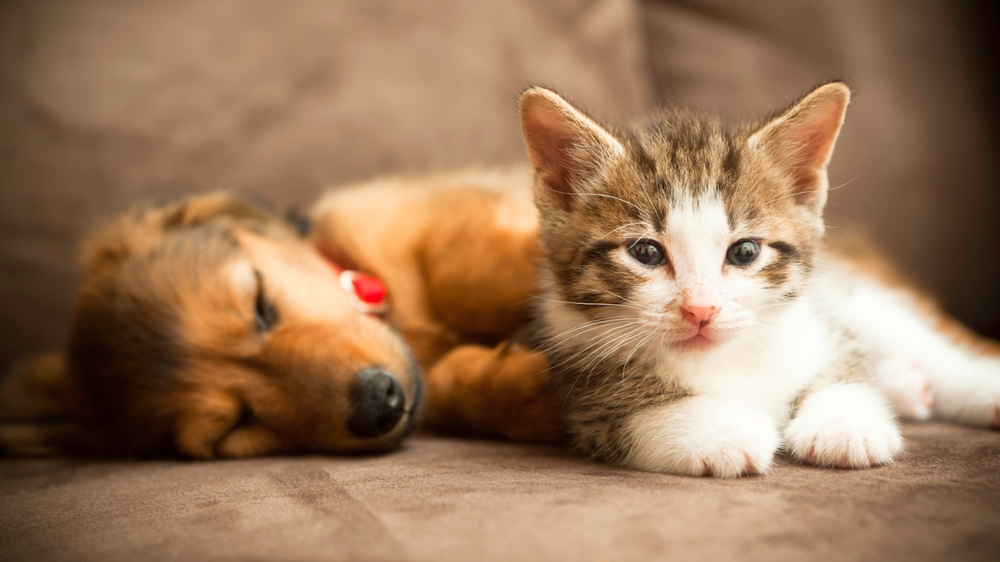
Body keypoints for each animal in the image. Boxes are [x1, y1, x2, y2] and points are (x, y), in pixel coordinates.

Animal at [0, 168, 564, 458]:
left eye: (260, 302)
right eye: (235, 426)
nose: (378, 404)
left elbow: (462, 271)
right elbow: (450, 382)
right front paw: (522, 393)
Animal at [520, 83, 1000, 474]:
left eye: (745, 252)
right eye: (646, 253)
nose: (700, 309)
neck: (728, 357)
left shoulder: (818, 318)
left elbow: (846, 364)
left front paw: (843, 423)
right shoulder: (577, 385)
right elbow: (626, 413)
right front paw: (720, 431)